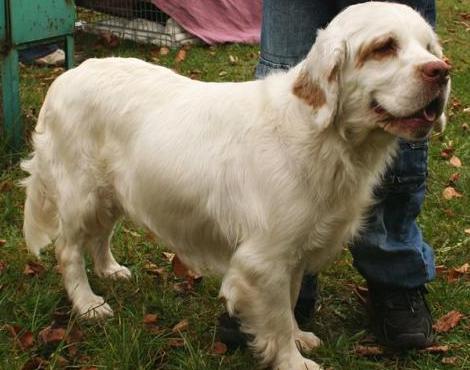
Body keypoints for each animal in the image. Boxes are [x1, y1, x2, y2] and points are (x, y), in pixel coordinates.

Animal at [21, 2, 448, 368]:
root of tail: (67, 76)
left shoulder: (293, 253)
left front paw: (300, 337)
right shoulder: (264, 260)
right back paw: (88, 303)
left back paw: (110, 270)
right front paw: (293, 360)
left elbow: (291, 302)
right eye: (384, 47)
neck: (321, 135)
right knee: (68, 250)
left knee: (100, 236)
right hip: (81, 194)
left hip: (113, 193)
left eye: (429, 47)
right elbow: (276, 319)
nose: (441, 71)